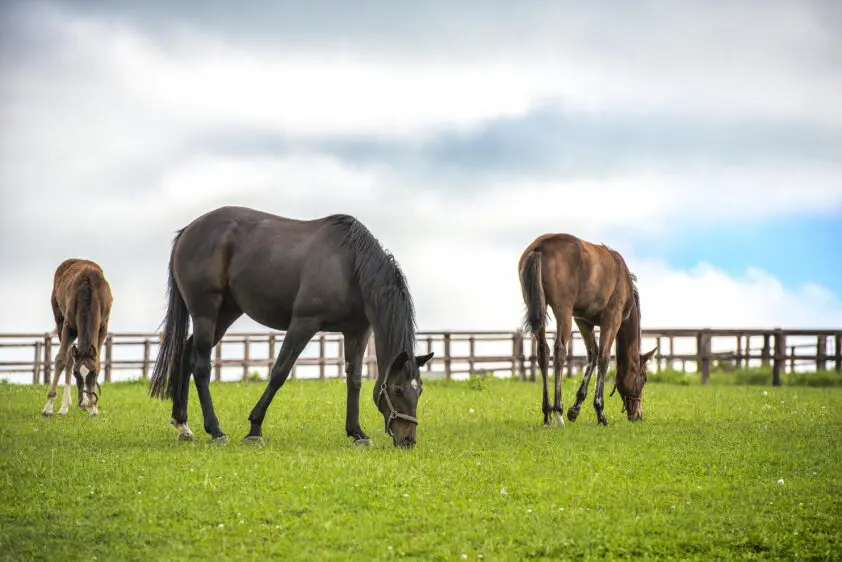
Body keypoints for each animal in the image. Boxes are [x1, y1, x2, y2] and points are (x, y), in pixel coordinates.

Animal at [41, 258, 113, 417]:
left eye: (94, 373)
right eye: (76, 374)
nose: (84, 402)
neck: (90, 291)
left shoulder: (103, 328)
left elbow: (98, 361)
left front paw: (93, 407)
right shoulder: (69, 326)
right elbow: (61, 360)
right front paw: (48, 406)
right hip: (60, 321)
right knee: (68, 359)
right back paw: (63, 406)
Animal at [147, 206, 433, 448]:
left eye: (419, 390)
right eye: (397, 390)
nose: (408, 440)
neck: (350, 266)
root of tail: (188, 231)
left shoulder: (357, 331)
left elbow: (354, 380)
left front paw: (357, 433)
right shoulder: (304, 323)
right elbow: (279, 372)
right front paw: (254, 430)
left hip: (225, 314)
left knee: (186, 353)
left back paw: (182, 425)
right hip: (205, 313)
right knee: (201, 366)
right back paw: (216, 431)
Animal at [518, 233, 657, 426]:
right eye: (644, 378)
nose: (637, 414)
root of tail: (540, 247)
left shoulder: (583, 321)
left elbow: (592, 354)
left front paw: (575, 409)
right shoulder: (611, 320)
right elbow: (603, 358)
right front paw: (600, 412)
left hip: (539, 307)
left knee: (543, 352)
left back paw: (547, 414)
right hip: (563, 311)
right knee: (559, 350)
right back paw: (558, 412)